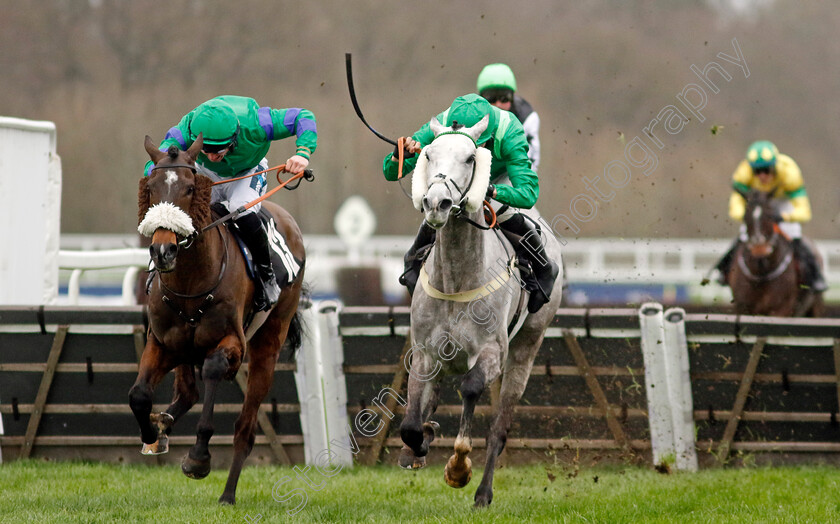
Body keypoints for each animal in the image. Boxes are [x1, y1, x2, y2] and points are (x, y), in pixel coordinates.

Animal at [129, 134, 306, 504]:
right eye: (151, 188)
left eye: (189, 189)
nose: (163, 251)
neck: (191, 284)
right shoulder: (161, 343)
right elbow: (138, 395)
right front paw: (152, 432)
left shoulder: (232, 343)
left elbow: (212, 372)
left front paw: (198, 457)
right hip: (183, 348)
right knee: (187, 392)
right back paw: (163, 424)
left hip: (269, 344)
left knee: (245, 430)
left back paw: (227, 494)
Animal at [400, 114, 564, 508]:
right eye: (428, 154)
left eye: (471, 157)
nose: (437, 203)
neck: (455, 280)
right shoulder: (425, 351)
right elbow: (411, 423)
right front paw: (421, 439)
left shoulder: (492, 351)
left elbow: (472, 389)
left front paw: (458, 468)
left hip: (526, 349)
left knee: (499, 429)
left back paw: (483, 493)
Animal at [724, 190, 824, 318]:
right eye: (745, 216)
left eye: (769, 214)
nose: (759, 248)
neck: (761, 273)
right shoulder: (743, 308)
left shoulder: (781, 309)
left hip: (815, 306)